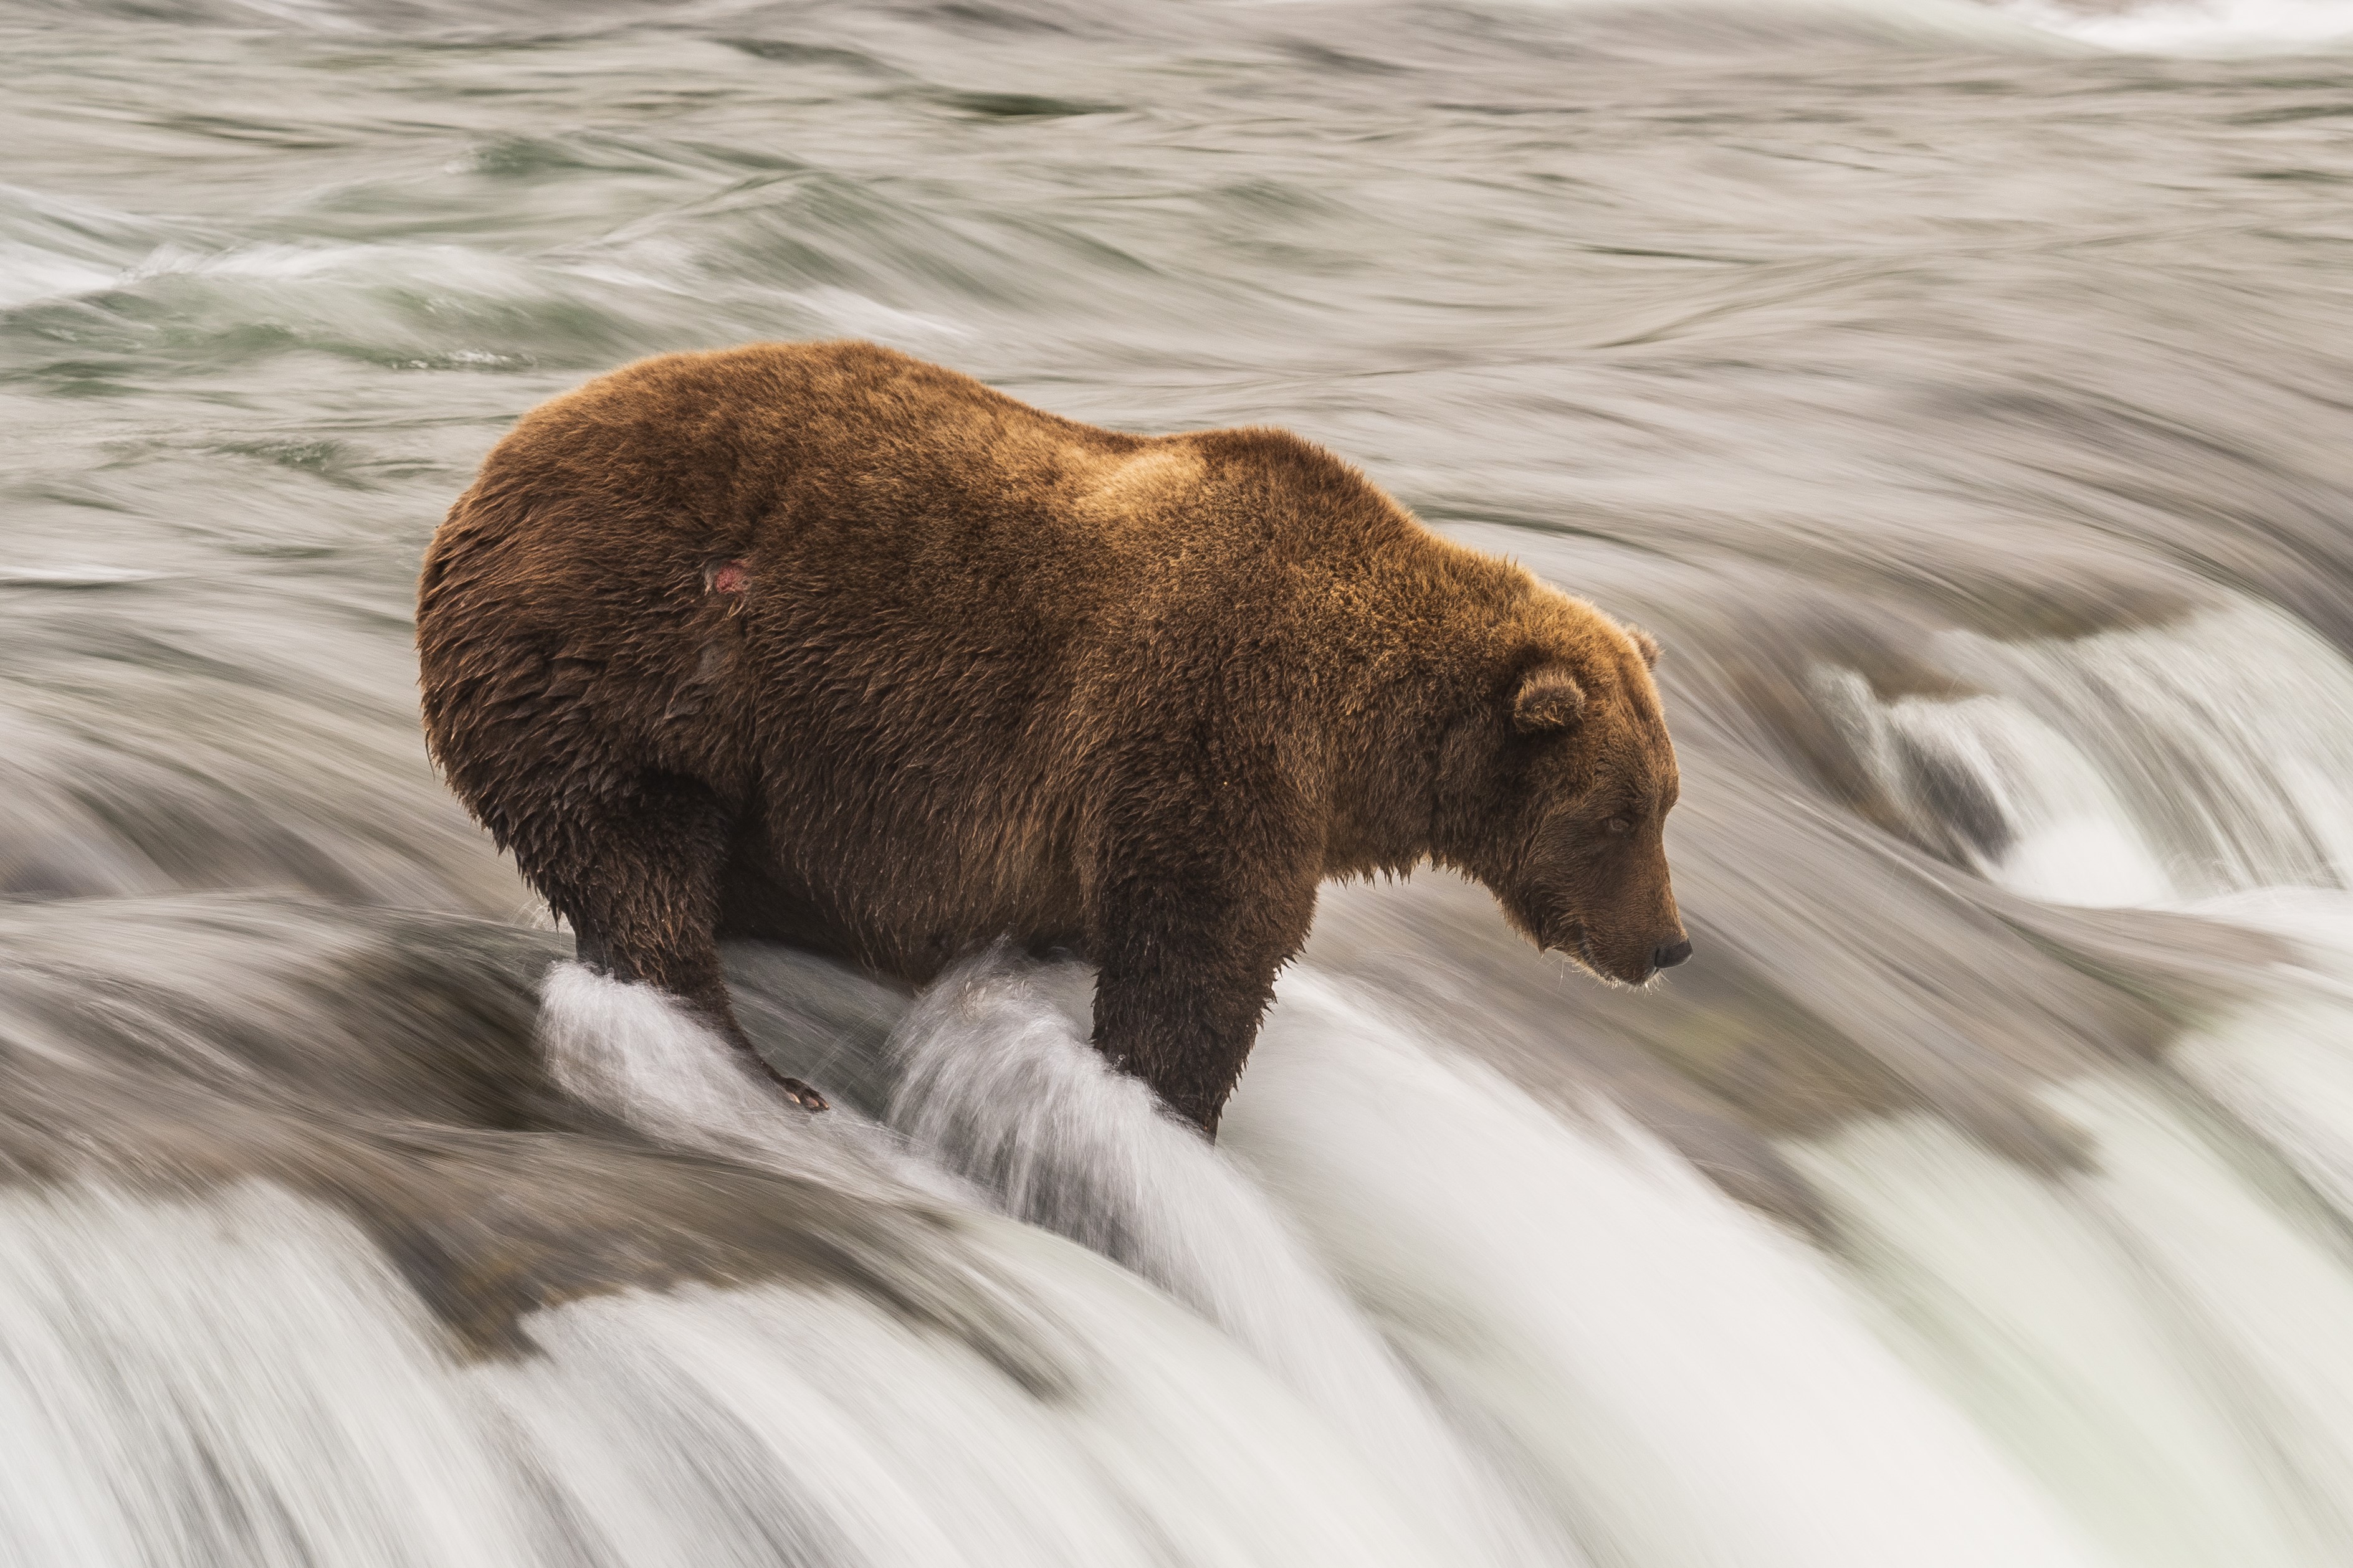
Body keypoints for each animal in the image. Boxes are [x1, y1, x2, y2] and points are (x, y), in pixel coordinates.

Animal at [416, 340, 1689, 1135]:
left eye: (1668, 804)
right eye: (1620, 814)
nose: (1671, 944)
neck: (1361, 737)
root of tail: (480, 480)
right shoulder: (1212, 727)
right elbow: (1198, 954)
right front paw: (1167, 1116)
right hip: (626, 656)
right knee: (638, 855)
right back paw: (760, 1073)